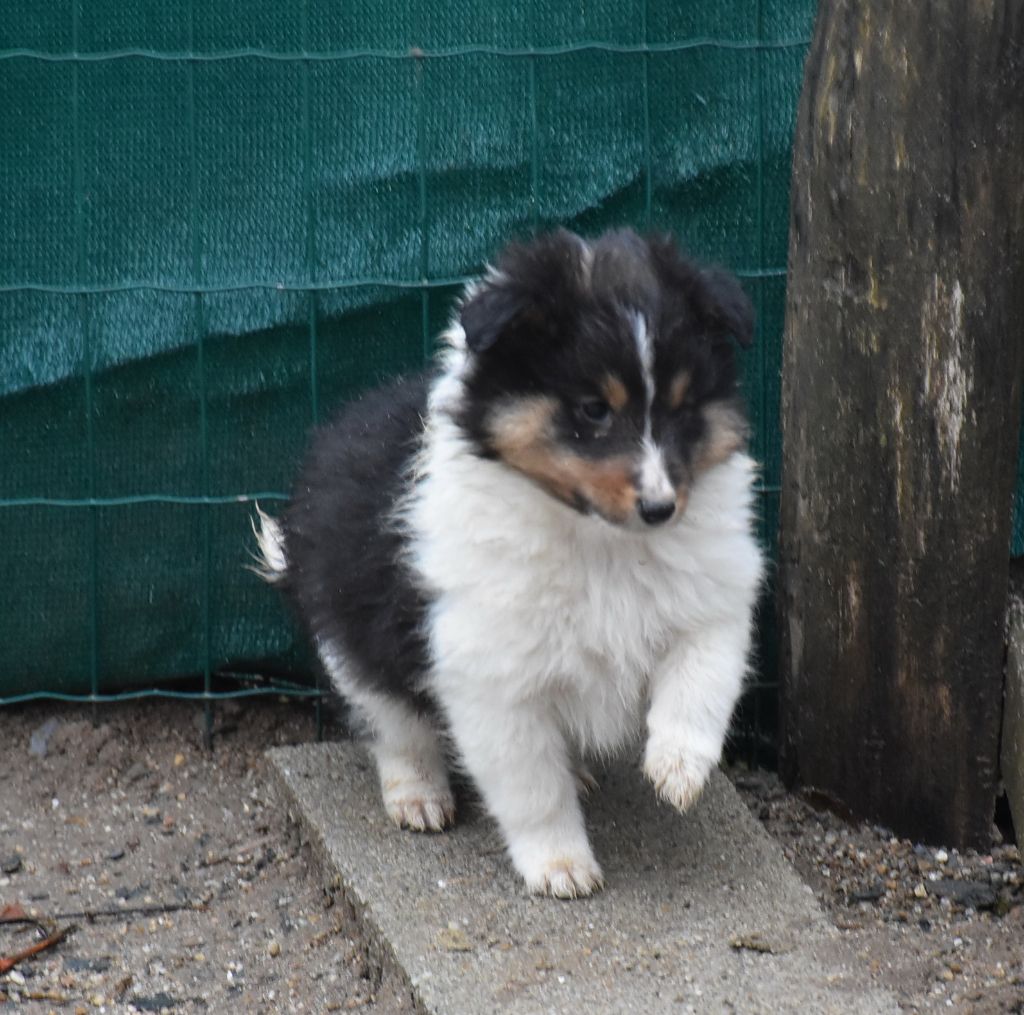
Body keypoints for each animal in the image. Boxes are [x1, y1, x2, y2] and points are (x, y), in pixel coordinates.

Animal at [254, 228, 765, 897]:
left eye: (684, 408)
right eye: (594, 409)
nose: (661, 508)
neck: (600, 541)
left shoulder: (714, 597)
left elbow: (703, 678)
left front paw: (677, 769)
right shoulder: (493, 679)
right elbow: (531, 786)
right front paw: (560, 865)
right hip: (353, 637)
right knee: (393, 725)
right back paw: (418, 797)